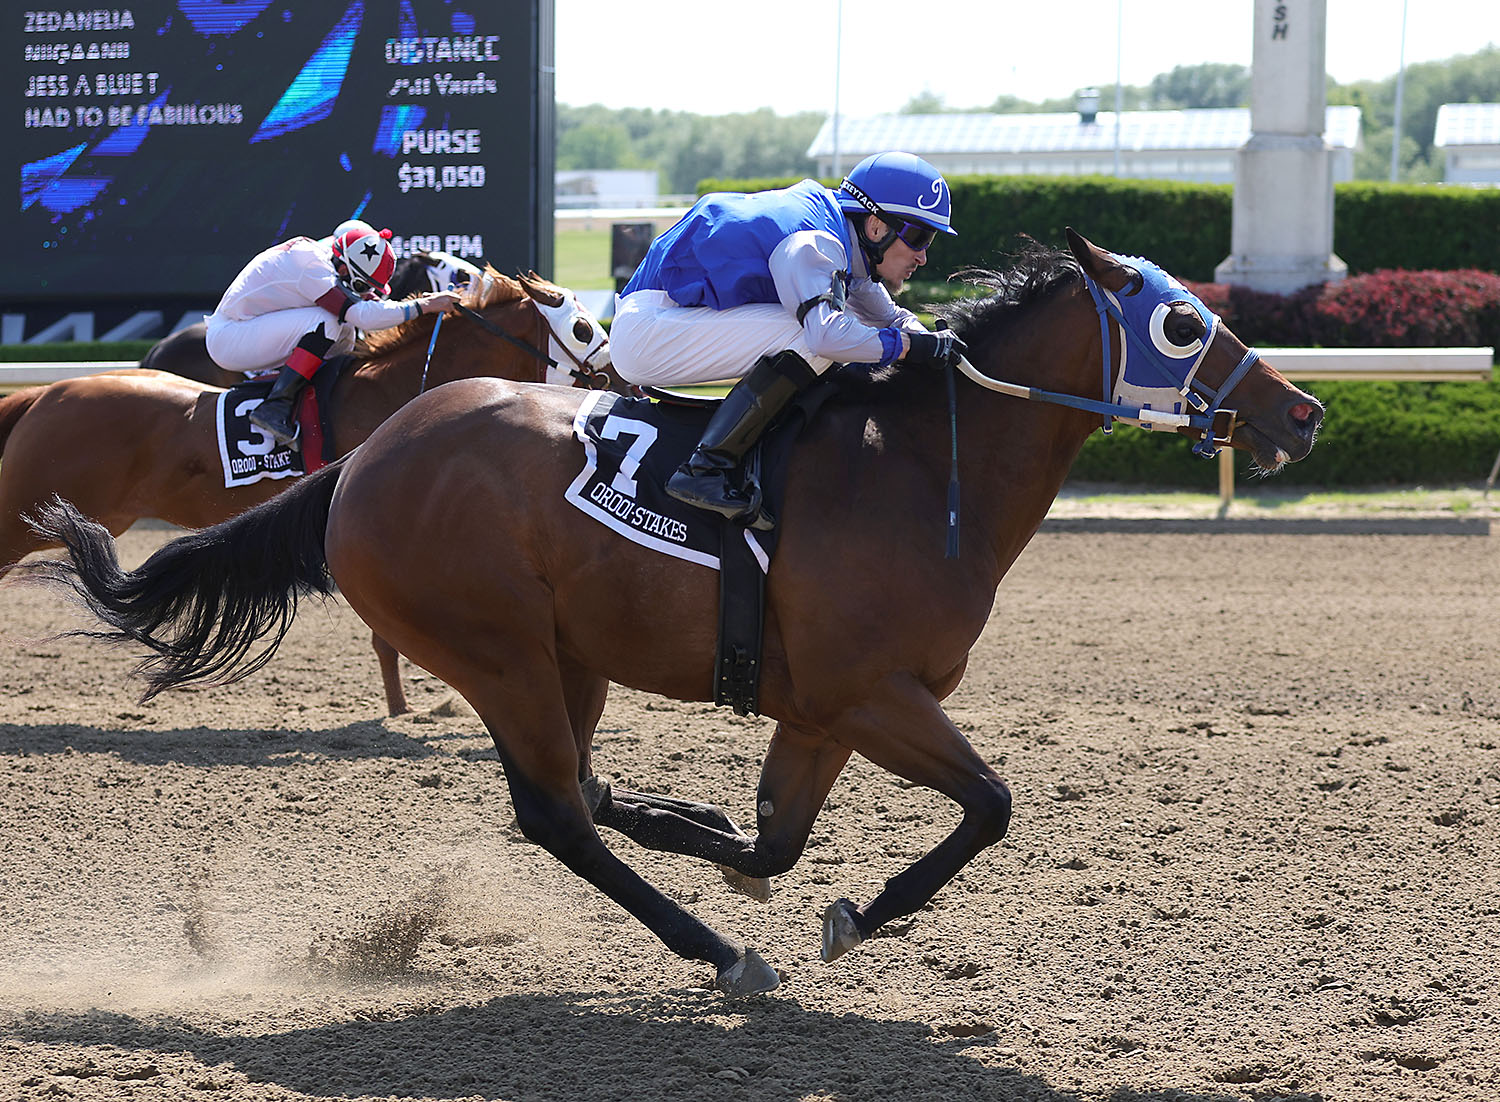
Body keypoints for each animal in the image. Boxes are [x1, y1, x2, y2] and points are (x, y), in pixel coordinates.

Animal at [0, 267, 624, 715]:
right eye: (584, 327)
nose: (623, 380)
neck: (395, 389)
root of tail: (41, 395)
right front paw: (408, 707)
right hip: (26, 512)